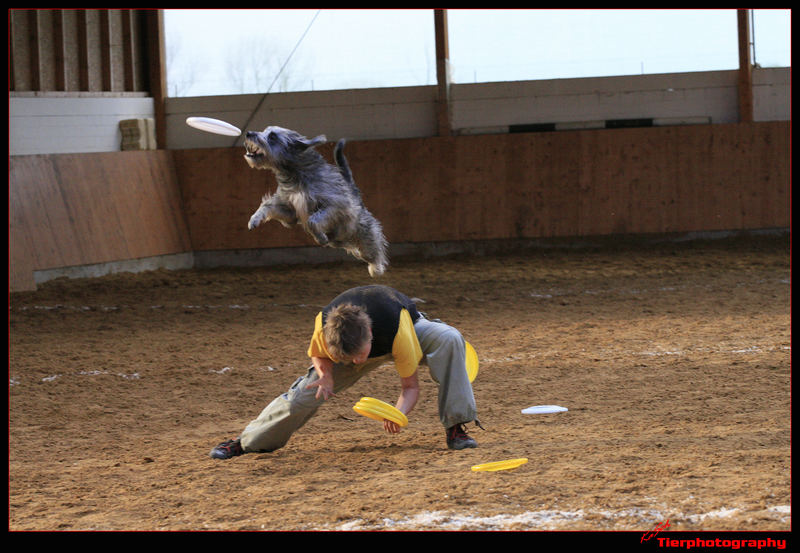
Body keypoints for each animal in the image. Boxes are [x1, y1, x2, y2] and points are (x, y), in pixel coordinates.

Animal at [245, 125, 390, 276]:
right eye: (265, 130)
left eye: (272, 136)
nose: (249, 133)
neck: (296, 174)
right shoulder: (290, 212)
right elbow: (267, 207)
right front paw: (254, 219)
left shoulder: (335, 206)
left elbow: (312, 221)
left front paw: (320, 237)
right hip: (340, 241)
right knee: (355, 249)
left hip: (364, 232)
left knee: (372, 250)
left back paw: (377, 268)